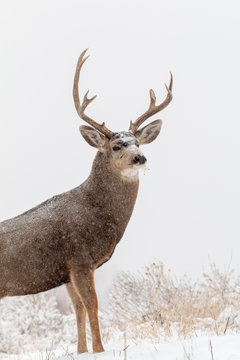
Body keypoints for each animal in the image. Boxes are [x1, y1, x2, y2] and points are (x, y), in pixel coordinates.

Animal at [0, 49, 172, 352]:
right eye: (116, 145)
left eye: (138, 142)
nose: (140, 157)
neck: (98, 213)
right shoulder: (80, 257)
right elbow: (92, 305)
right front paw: (100, 350)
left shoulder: (67, 270)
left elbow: (78, 308)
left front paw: (82, 351)